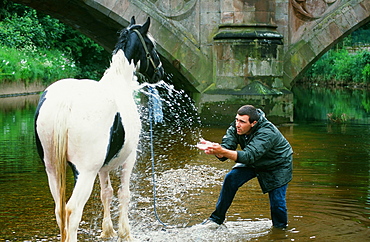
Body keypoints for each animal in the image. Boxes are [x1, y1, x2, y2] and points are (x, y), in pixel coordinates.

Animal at [34, 16, 163, 241]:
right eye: (152, 45)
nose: (160, 72)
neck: (119, 82)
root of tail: (66, 101)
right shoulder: (129, 157)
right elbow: (123, 194)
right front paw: (125, 232)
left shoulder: (103, 167)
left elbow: (106, 193)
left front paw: (107, 231)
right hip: (85, 172)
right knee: (72, 209)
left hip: (52, 169)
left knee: (60, 210)